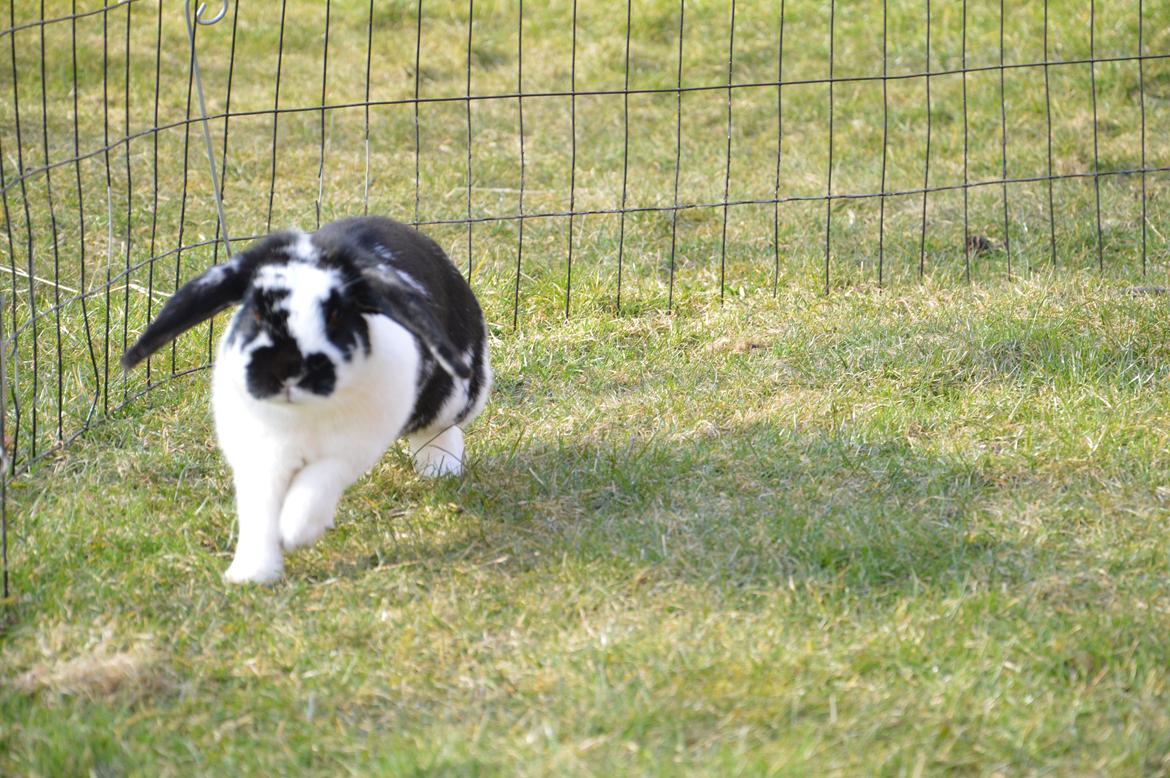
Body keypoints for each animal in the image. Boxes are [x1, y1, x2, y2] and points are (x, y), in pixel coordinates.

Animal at [122, 215, 493, 580]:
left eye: (336, 314)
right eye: (256, 311)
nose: (287, 370)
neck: (303, 411)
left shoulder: (351, 448)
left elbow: (319, 480)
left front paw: (296, 531)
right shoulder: (260, 457)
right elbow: (259, 510)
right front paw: (253, 573)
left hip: (454, 391)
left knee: (439, 428)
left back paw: (440, 468)